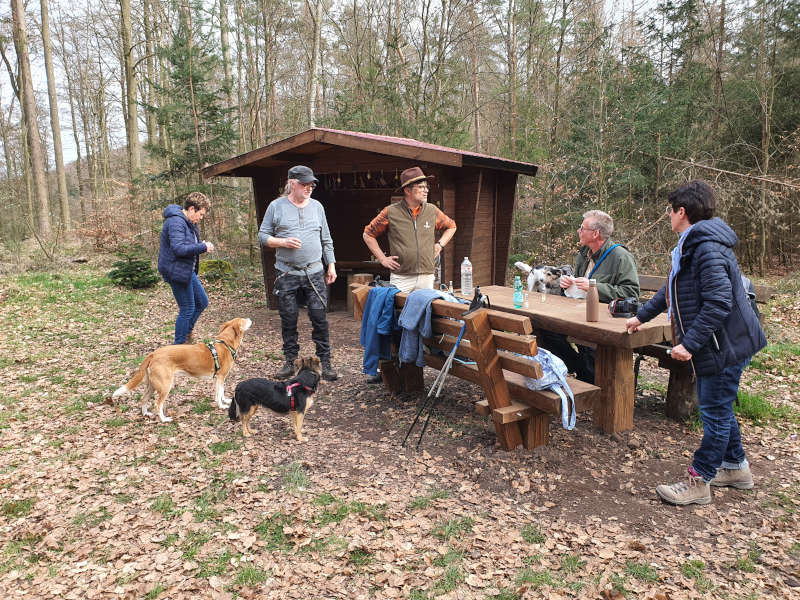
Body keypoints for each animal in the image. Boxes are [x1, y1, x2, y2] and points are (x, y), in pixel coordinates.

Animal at [111, 318, 252, 422]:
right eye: (243, 320)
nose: (249, 318)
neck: (225, 343)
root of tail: (153, 354)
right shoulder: (221, 377)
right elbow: (219, 393)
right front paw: (222, 406)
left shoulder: (218, 378)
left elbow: (220, 392)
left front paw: (225, 401)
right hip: (165, 386)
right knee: (158, 405)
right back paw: (164, 419)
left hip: (151, 386)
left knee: (143, 399)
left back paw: (146, 414)